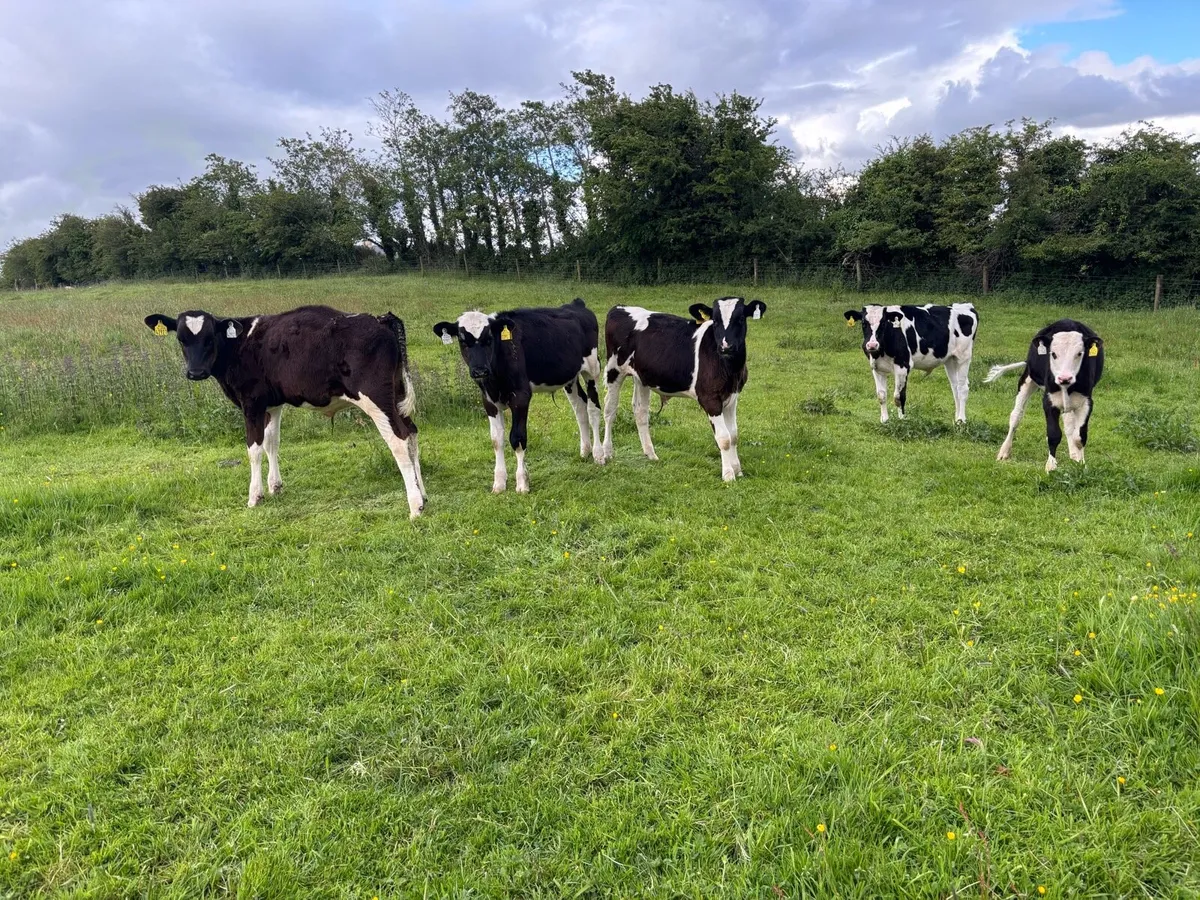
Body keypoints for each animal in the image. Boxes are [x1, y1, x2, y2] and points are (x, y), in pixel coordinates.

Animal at [144, 305, 426, 518]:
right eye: (181, 339)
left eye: (210, 338)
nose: (195, 372)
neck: (241, 343)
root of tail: (380, 319)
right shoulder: (273, 404)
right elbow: (272, 442)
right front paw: (275, 486)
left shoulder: (252, 403)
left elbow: (254, 448)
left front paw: (254, 496)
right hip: (396, 395)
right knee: (412, 433)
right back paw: (423, 495)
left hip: (376, 397)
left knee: (398, 439)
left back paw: (414, 506)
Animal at [432, 298, 602, 494]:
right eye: (462, 341)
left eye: (489, 339)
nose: (480, 371)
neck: (495, 379)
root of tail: (576, 304)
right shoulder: (488, 401)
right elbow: (496, 440)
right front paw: (499, 483)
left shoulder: (521, 397)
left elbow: (517, 438)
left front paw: (522, 483)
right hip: (570, 378)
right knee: (580, 408)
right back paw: (585, 451)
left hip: (592, 370)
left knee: (594, 409)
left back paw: (599, 454)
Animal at [601, 297, 767, 482]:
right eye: (715, 321)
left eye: (740, 319)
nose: (726, 346)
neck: (730, 368)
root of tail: (620, 307)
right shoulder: (709, 398)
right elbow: (724, 438)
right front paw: (729, 475)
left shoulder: (732, 396)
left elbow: (733, 435)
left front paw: (737, 469)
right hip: (614, 369)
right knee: (610, 410)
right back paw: (606, 453)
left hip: (642, 378)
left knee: (640, 412)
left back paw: (651, 454)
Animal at [843, 303, 978, 424]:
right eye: (863, 323)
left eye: (883, 323)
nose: (872, 345)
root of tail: (966, 305)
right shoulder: (876, 368)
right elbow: (881, 396)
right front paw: (885, 421)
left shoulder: (903, 366)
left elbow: (899, 397)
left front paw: (902, 421)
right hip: (950, 360)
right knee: (955, 388)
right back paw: (956, 419)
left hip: (963, 357)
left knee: (963, 388)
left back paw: (961, 420)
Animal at [985, 319, 1105, 472]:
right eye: (1053, 354)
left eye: (1079, 353)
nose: (1064, 378)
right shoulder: (1048, 401)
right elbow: (1053, 434)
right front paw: (1051, 466)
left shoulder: (1087, 402)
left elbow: (1079, 437)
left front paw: (1080, 463)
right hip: (1027, 379)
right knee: (1016, 416)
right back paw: (1004, 451)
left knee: (1069, 423)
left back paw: (1073, 454)